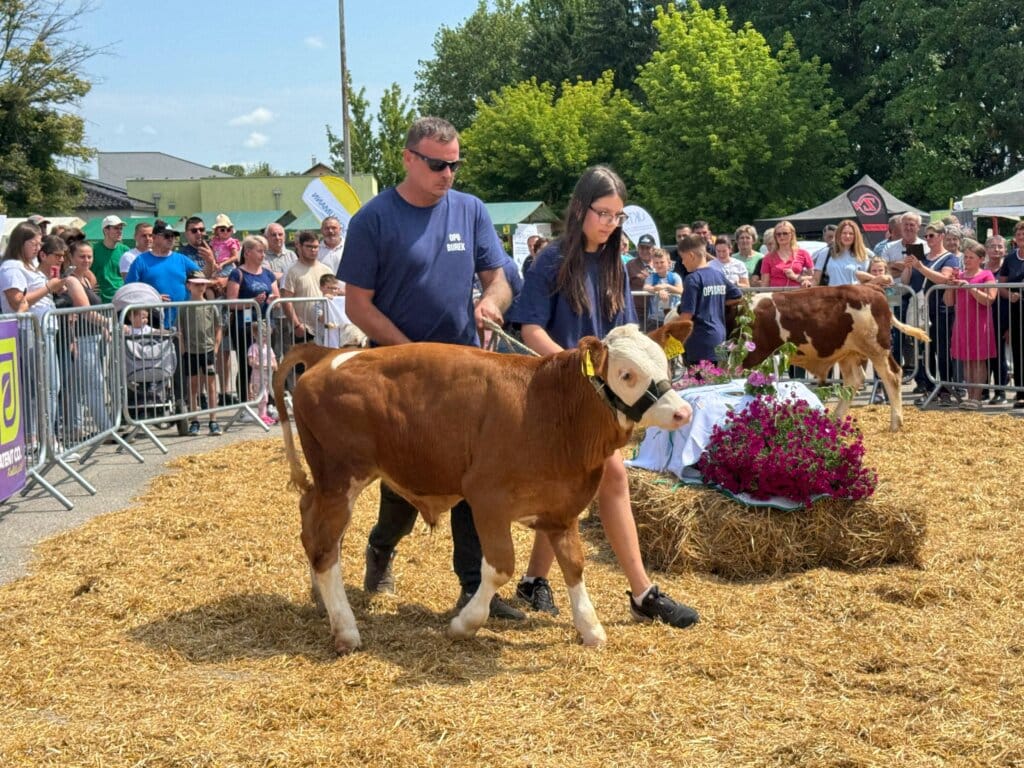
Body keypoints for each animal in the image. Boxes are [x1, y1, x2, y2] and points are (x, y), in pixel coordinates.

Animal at [274, 319, 696, 655]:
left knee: (312, 527)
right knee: (325, 546)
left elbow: (574, 565)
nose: (683, 412)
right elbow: (500, 568)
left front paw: (590, 627)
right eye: (626, 374)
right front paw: (465, 624)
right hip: (339, 478)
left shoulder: (561, 507)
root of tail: (329, 354)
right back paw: (346, 629)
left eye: (663, 363)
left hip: (327, 484)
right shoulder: (486, 498)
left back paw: (321, 600)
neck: (553, 408)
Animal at [737, 286, 929, 434]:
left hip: (876, 348)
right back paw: (835, 418)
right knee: (854, 380)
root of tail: (871, 288)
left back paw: (895, 423)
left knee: (892, 375)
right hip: (848, 352)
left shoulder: (753, 356)